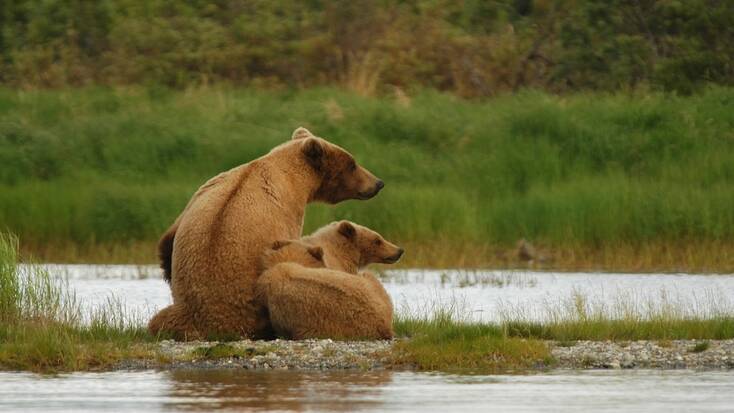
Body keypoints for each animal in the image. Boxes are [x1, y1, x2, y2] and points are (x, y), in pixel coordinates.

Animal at [149, 127, 386, 340]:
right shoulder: (288, 211)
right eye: (352, 164)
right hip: (245, 311)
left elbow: (166, 246)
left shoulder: (200, 195)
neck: (291, 176)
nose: (378, 183)